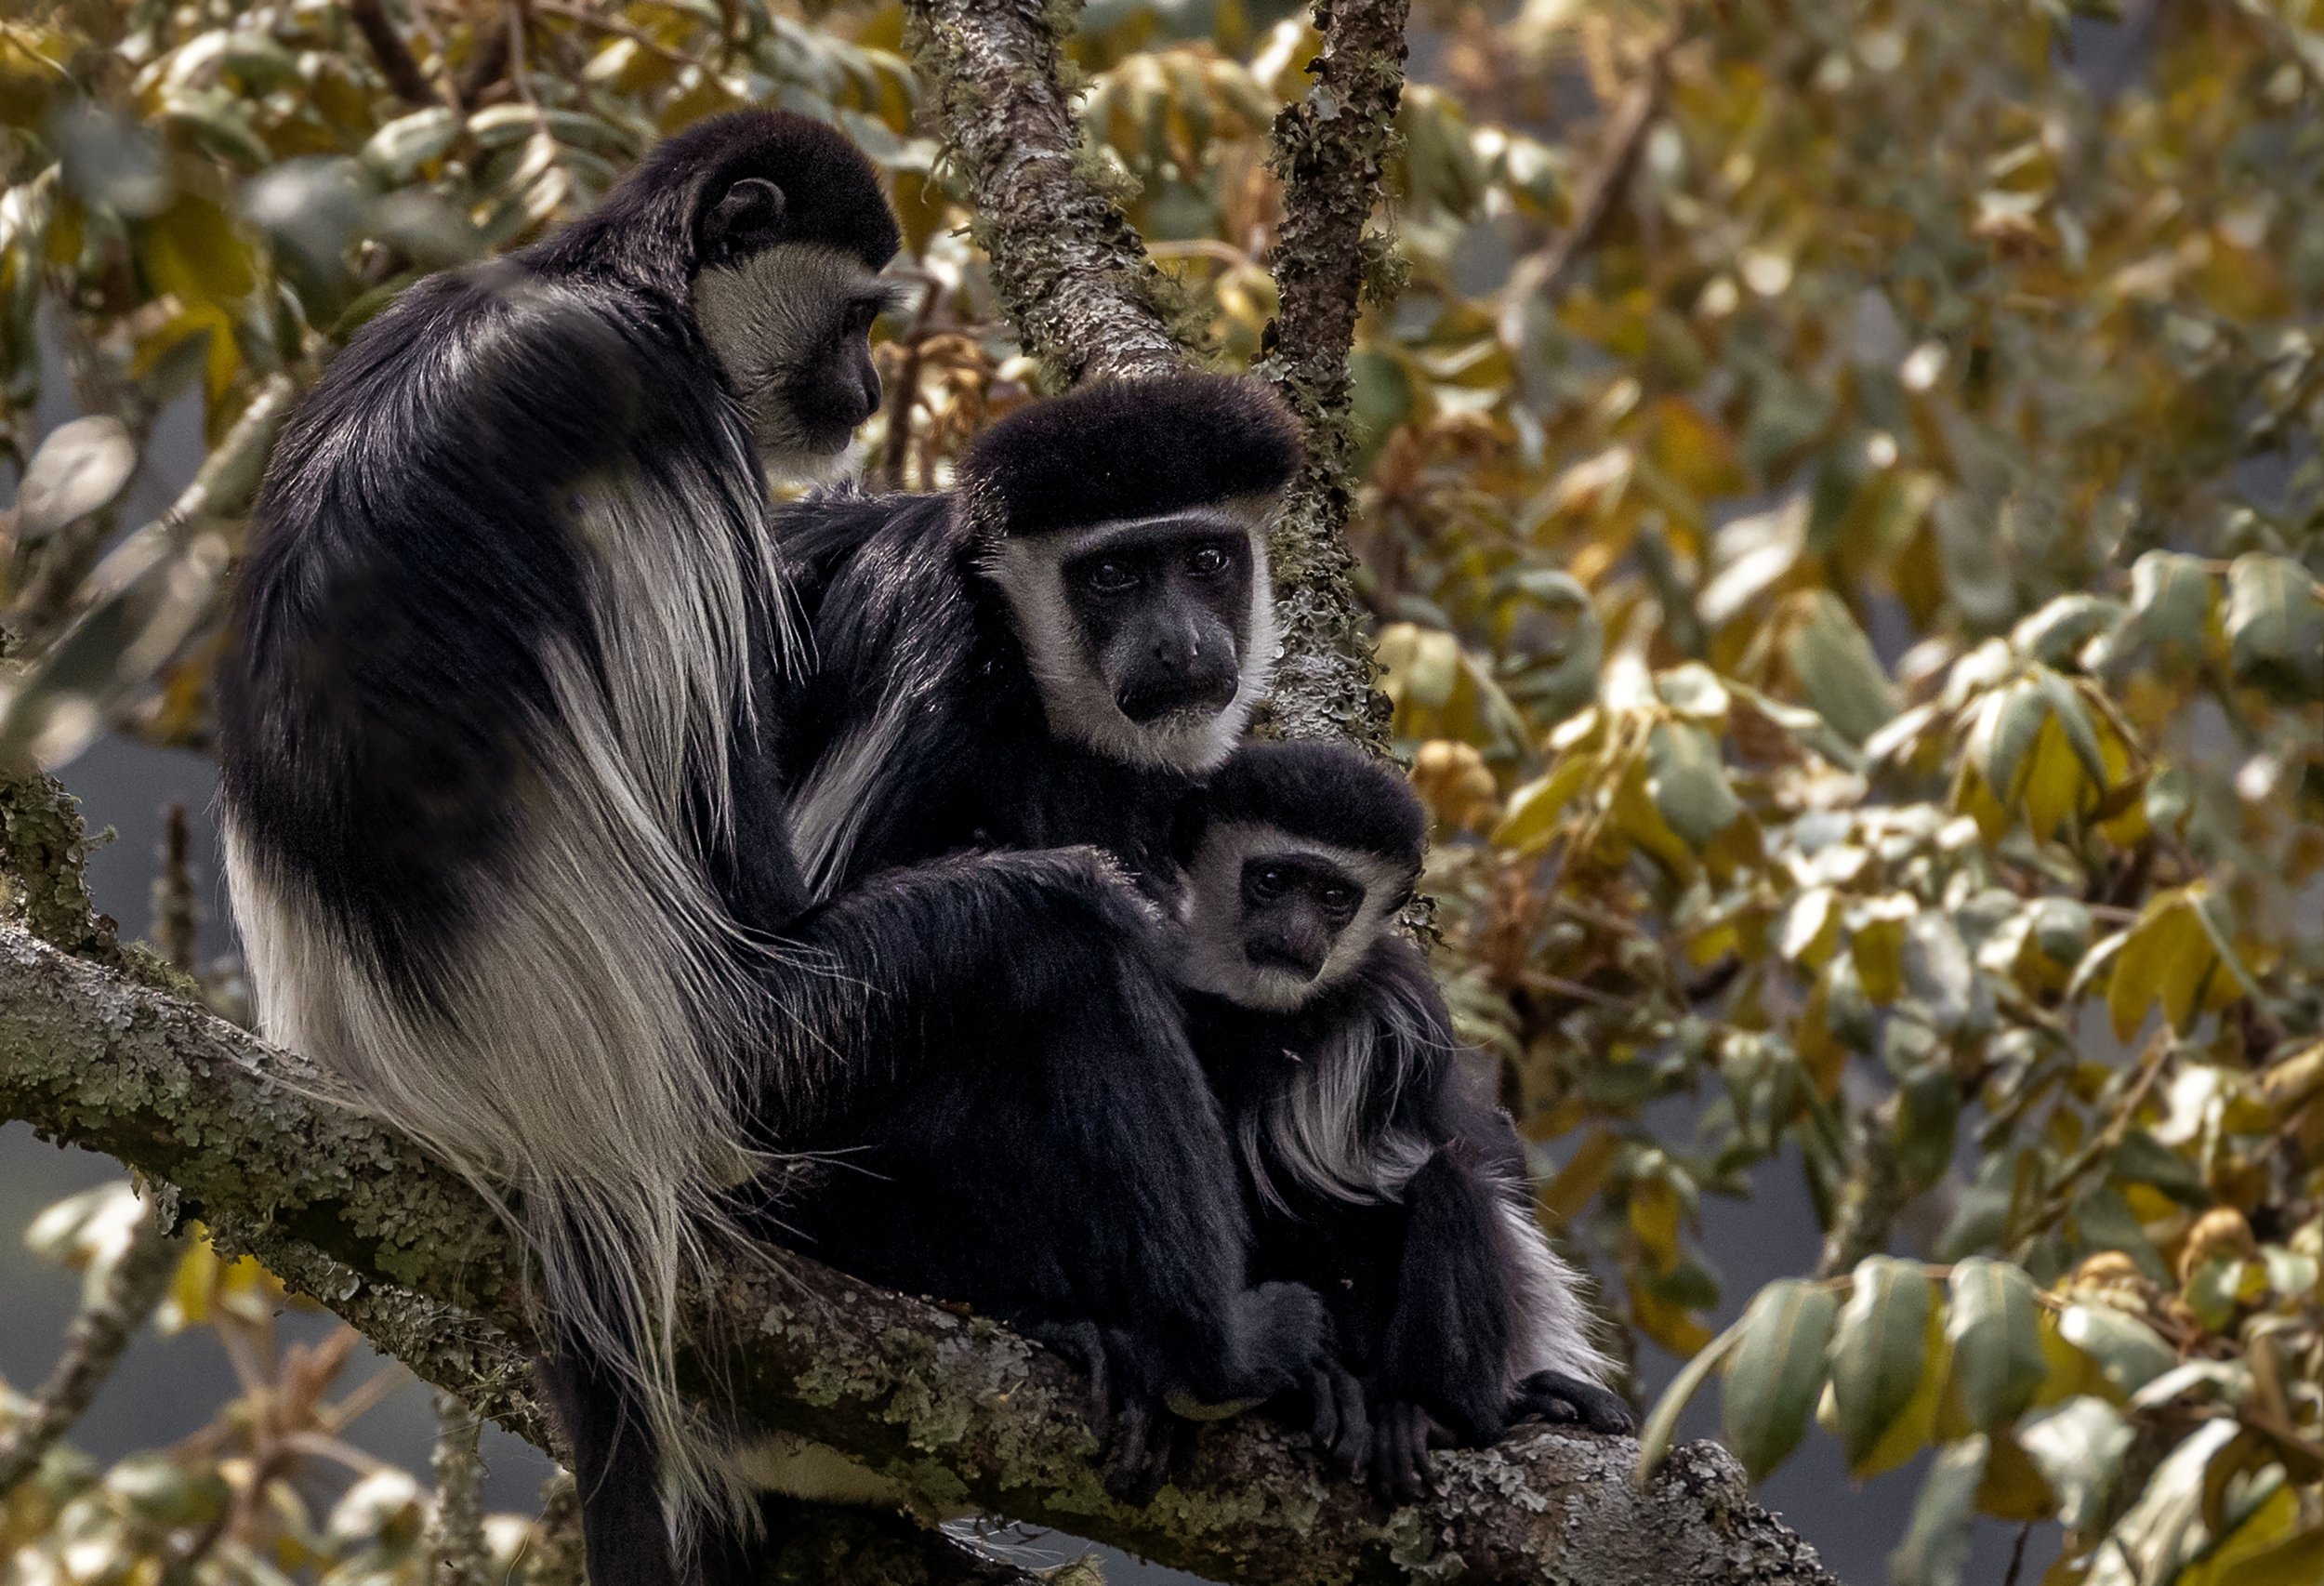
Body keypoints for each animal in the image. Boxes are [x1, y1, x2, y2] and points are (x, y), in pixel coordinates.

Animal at [1162, 739, 1636, 1497]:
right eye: (1271, 880)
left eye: (1334, 897)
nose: (1295, 935)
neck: (1262, 1017)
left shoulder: (1394, 1009)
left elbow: (1471, 1149)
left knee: (1451, 1184)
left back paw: (1439, 1414)